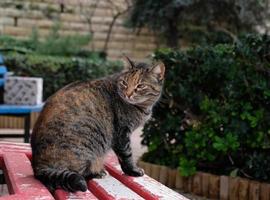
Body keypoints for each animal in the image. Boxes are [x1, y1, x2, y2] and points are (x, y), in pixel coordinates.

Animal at [30, 55, 166, 192]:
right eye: (124, 83)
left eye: (140, 86)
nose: (128, 94)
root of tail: (38, 167)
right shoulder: (122, 133)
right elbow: (126, 155)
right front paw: (133, 171)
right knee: (80, 174)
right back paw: (97, 172)